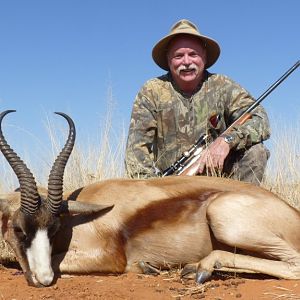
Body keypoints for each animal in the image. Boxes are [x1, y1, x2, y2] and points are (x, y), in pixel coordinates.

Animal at [0, 110, 300, 288]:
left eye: (53, 228)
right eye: (18, 229)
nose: (43, 279)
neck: (76, 220)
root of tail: (293, 213)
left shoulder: (107, 257)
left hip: (222, 215)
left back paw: (200, 268)